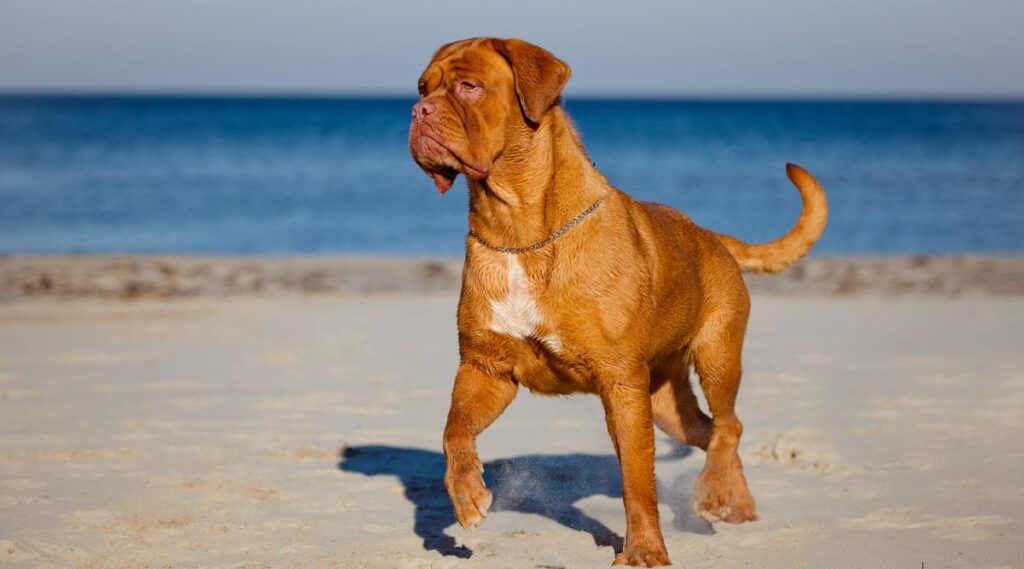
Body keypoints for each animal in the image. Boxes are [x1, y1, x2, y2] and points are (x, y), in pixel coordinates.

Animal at [405, 37, 823, 564]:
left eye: (469, 86)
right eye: (423, 88)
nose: (419, 110)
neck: (517, 230)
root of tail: (712, 236)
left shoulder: (622, 385)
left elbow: (636, 481)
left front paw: (644, 550)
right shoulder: (486, 368)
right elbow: (455, 428)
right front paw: (466, 497)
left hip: (717, 357)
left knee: (729, 424)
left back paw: (711, 494)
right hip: (666, 405)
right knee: (713, 432)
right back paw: (738, 504)